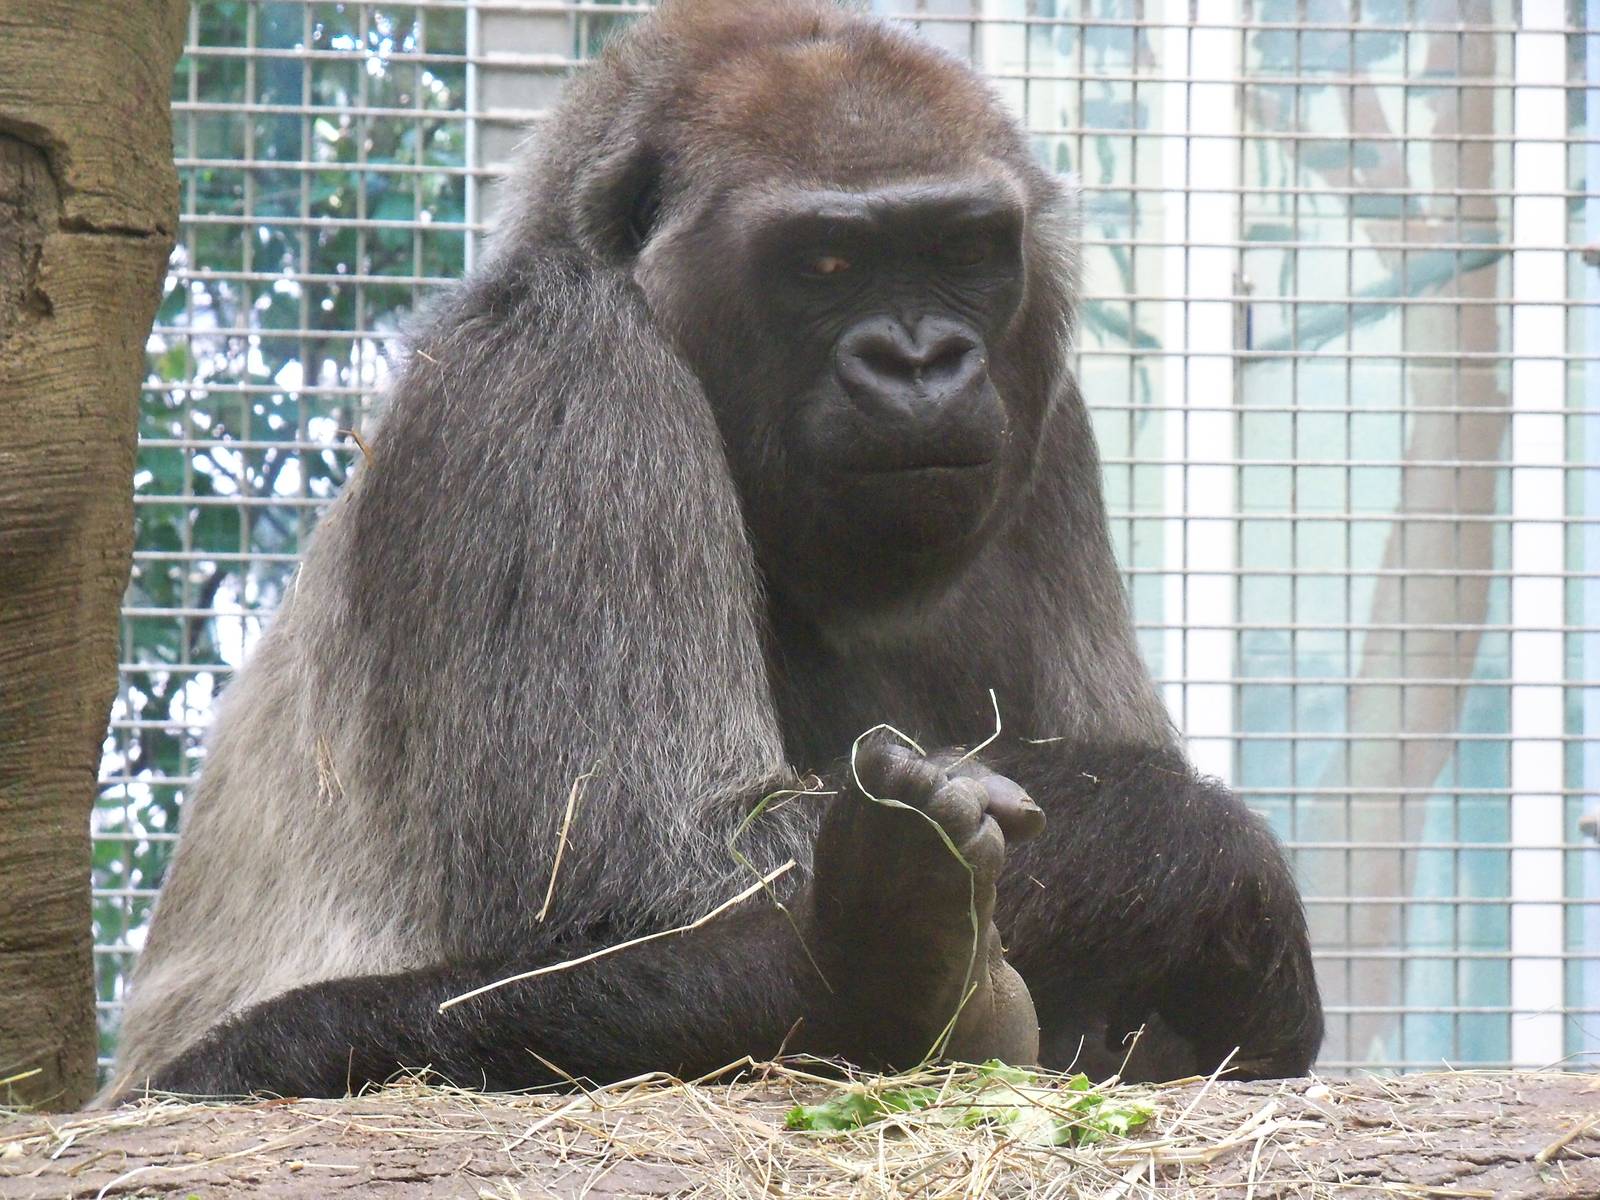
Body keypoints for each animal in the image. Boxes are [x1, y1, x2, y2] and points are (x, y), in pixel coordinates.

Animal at [107, 0, 1322, 1101]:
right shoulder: (559, 368)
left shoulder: (1045, 421)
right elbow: (679, 880)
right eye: (825, 263)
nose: (920, 360)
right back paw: (875, 969)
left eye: (962, 248)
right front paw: (1213, 859)